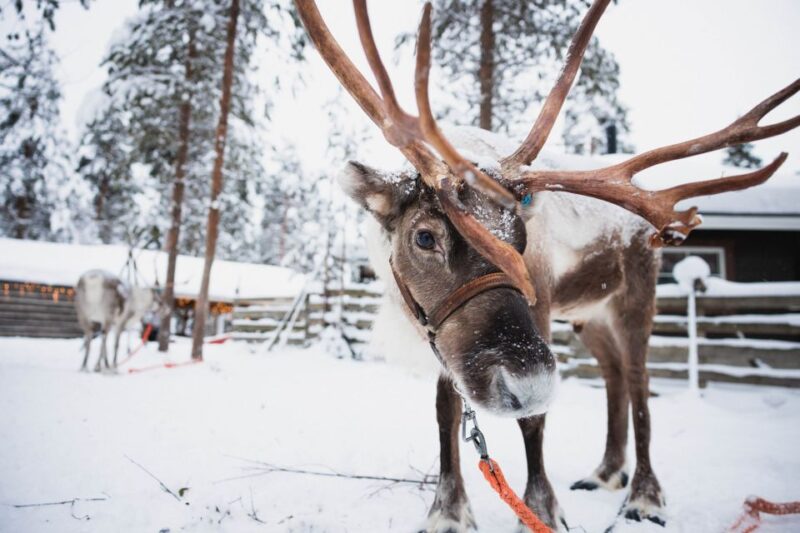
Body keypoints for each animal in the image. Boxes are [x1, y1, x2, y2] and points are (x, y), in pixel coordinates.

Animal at [294, 0, 799, 530]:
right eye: (425, 236)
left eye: (521, 239)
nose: (530, 383)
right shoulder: (441, 334)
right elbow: (445, 411)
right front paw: (448, 510)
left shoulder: (535, 312)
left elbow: (534, 421)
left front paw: (540, 508)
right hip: (588, 316)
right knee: (614, 374)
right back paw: (605, 471)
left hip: (635, 296)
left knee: (639, 381)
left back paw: (644, 496)